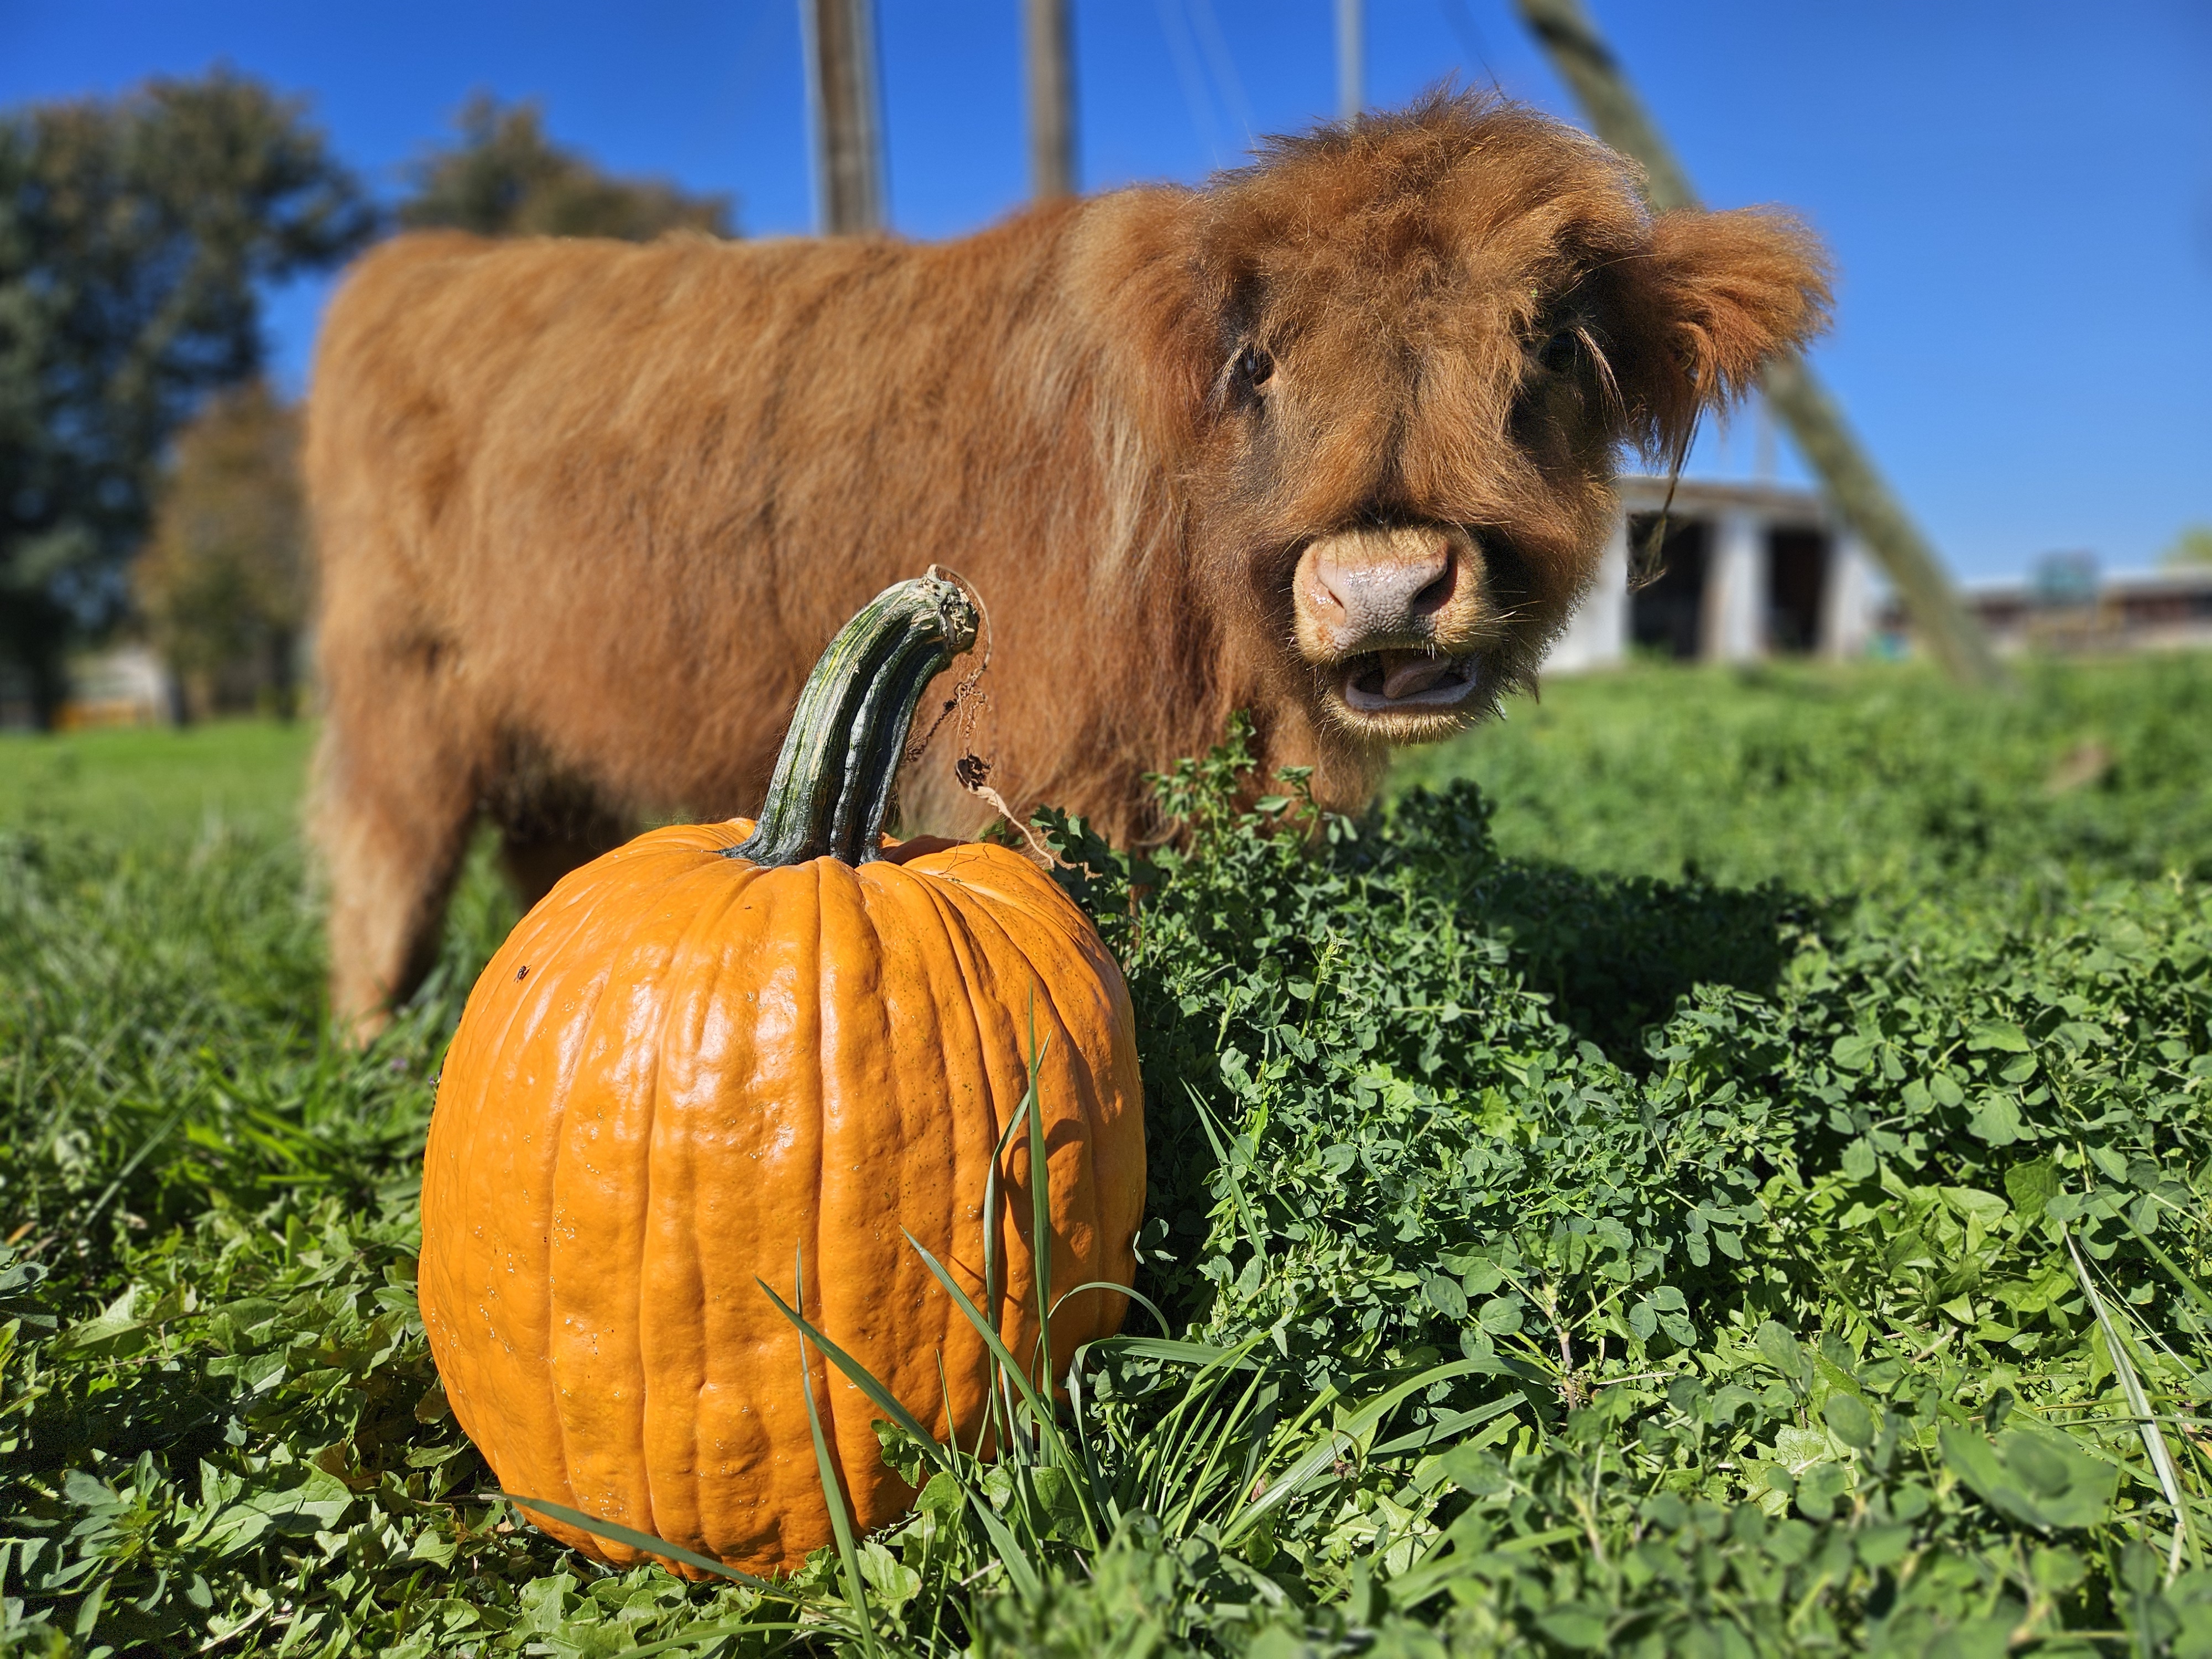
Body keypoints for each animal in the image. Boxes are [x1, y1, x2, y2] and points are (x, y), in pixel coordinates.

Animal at [305, 90, 1828, 1039]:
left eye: (1552, 347)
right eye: (1257, 364)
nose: (1384, 586)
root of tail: (425, 266)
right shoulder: (1040, 762)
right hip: (401, 687)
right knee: (384, 872)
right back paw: (373, 1052)